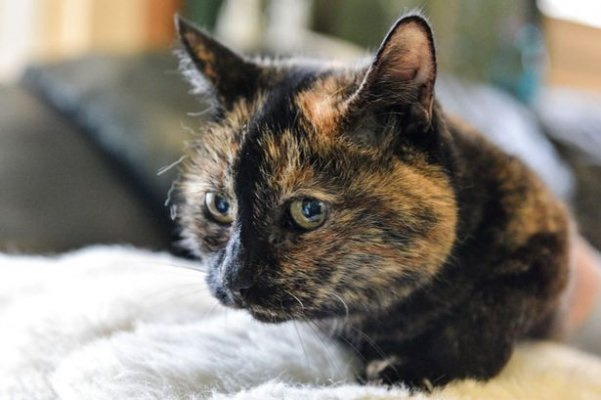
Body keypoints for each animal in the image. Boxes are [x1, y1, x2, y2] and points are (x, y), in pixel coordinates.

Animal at [174, 14, 586, 389]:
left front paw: (414, 370)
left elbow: (492, 310)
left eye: (308, 211)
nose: (234, 278)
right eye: (219, 205)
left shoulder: (549, 246)